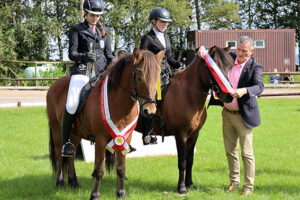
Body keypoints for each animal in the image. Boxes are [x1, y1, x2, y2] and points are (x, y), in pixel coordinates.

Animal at [47, 48, 164, 200]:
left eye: (157, 79)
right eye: (139, 78)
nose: (150, 111)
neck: (119, 103)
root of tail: (54, 84)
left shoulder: (124, 138)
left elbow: (121, 168)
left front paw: (121, 193)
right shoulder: (101, 140)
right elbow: (99, 169)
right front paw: (95, 195)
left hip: (75, 134)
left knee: (71, 154)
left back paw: (74, 183)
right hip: (57, 130)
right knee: (59, 153)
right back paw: (60, 181)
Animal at [134, 45, 234, 194]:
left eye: (230, 66)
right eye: (215, 67)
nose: (229, 96)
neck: (187, 94)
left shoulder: (194, 134)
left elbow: (190, 160)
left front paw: (190, 184)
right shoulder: (180, 134)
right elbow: (182, 162)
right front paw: (181, 188)